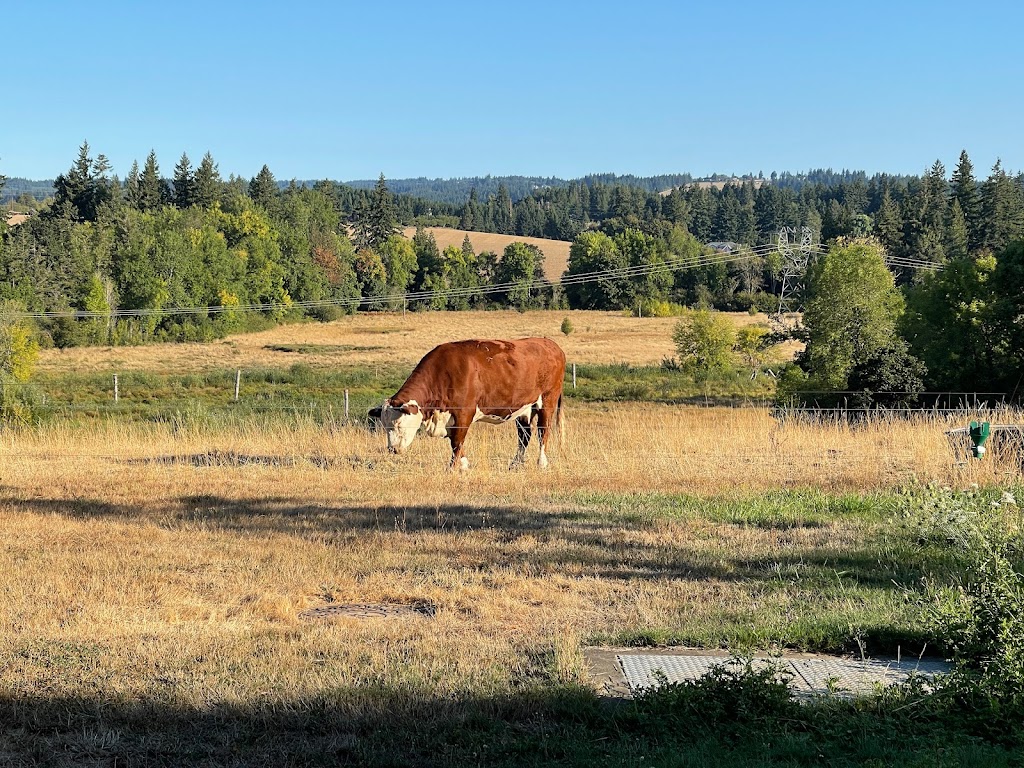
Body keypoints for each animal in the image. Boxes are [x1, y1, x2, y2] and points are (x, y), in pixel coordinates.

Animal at [368, 339, 565, 473]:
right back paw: (515, 464)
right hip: (524, 408)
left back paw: (541, 462)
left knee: (543, 431)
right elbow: (455, 442)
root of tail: (551, 344)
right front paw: (463, 464)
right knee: (524, 436)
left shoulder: (464, 413)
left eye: (399, 424)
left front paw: (453, 467)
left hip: (547, 401)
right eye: (385, 426)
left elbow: (457, 441)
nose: (393, 449)